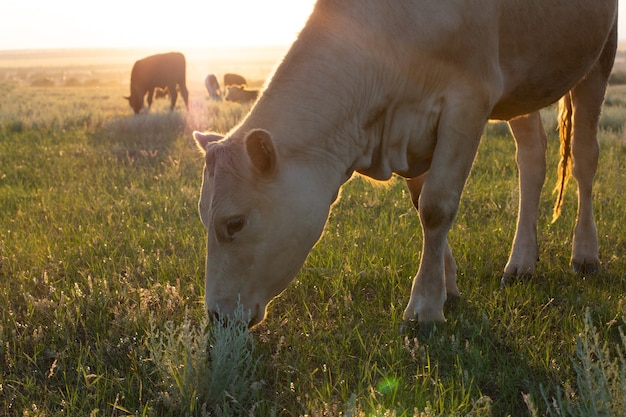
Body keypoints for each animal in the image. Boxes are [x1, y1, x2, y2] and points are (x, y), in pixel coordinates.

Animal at [194, 0, 616, 324]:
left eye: (235, 223)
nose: (215, 315)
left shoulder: (468, 102)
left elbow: (436, 206)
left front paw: (425, 307)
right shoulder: (408, 131)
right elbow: (420, 203)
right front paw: (447, 286)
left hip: (600, 56)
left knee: (584, 156)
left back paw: (585, 253)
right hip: (522, 86)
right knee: (531, 158)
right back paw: (522, 262)